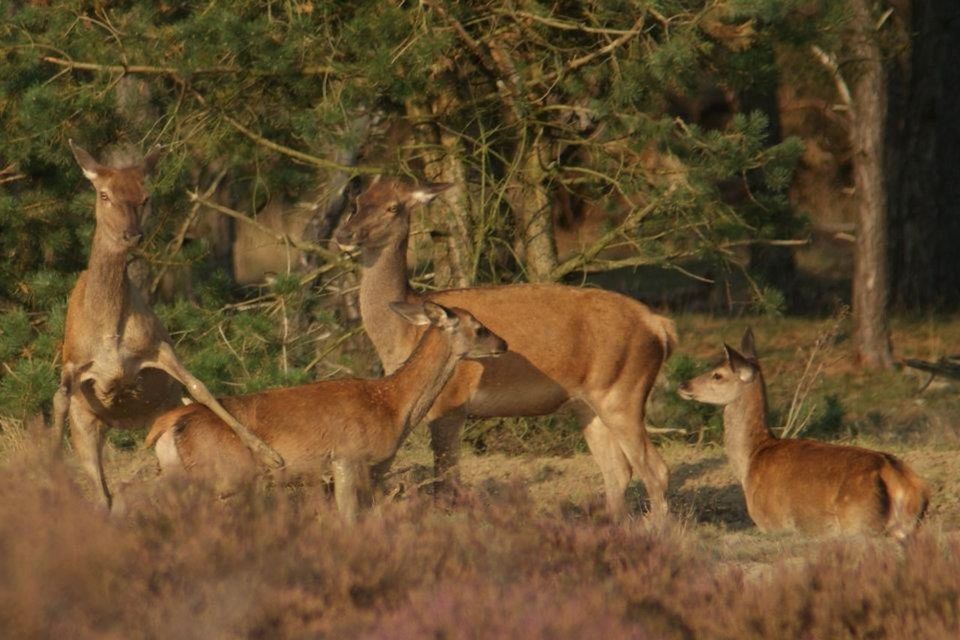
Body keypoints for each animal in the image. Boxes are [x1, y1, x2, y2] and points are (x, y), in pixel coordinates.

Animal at [52, 141, 284, 510]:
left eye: (145, 195)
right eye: (104, 194)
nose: (132, 234)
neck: (108, 329)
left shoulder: (156, 347)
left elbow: (199, 386)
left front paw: (268, 453)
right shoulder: (74, 360)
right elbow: (60, 400)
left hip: (159, 413)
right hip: (89, 424)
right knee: (103, 492)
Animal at [146, 302, 506, 524]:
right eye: (479, 327)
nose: (503, 344)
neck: (392, 406)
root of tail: (169, 423)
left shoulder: (374, 470)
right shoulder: (347, 456)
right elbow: (349, 519)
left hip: (180, 471)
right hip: (223, 475)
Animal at [334, 176, 680, 520]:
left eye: (393, 207)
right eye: (357, 202)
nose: (344, 234)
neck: (401, 336)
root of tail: (661, 327)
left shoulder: (450, 402)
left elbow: (446, 485)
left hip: (622, 392)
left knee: (656, 470)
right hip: (588, 403)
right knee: (618, 471)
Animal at [676, 328, 928, 536]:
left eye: (717, 374)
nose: (683, 385)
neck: (751, 460)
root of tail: (896, 477)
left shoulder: (771, 523)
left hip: (857, 521)